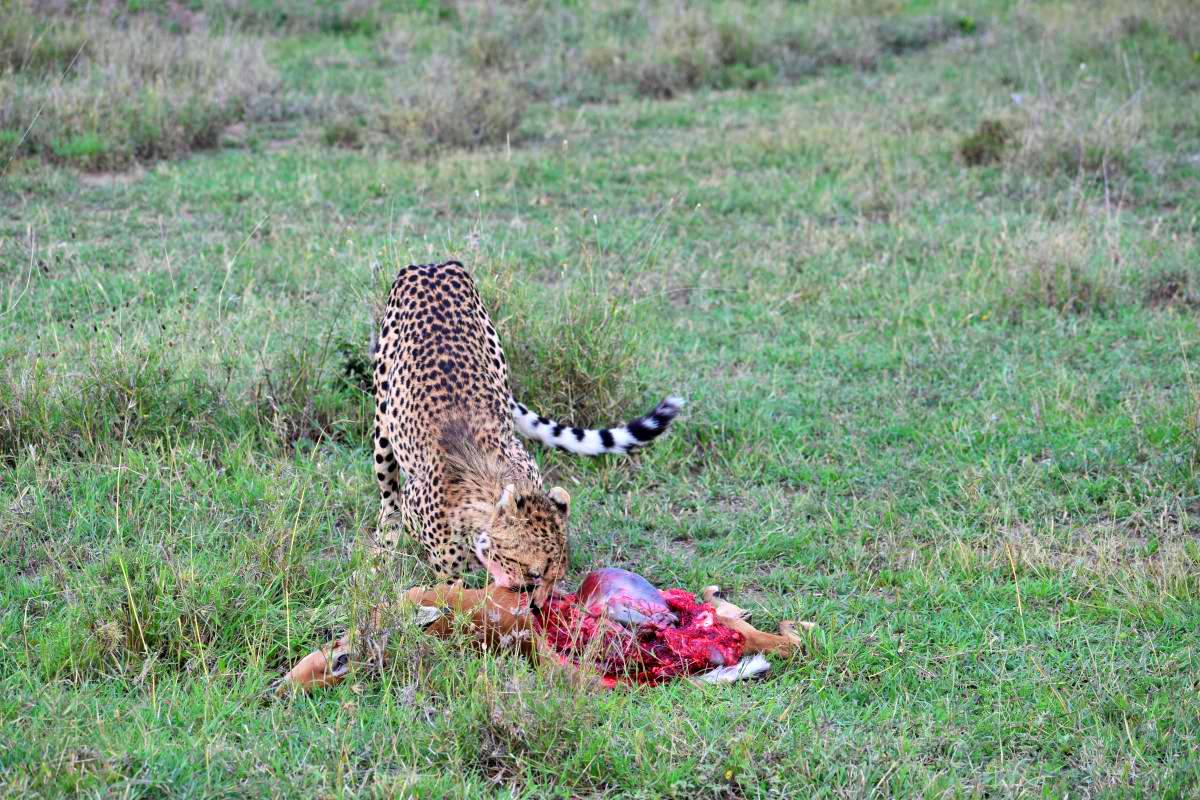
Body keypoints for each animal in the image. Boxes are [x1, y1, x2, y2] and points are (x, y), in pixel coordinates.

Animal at [369, 261, 681, 606]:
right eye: (533, 573)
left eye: (556, 574)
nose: (539, 605)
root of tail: (433, 265)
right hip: (382, 417)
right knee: (388, 493)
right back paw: (384, 544)